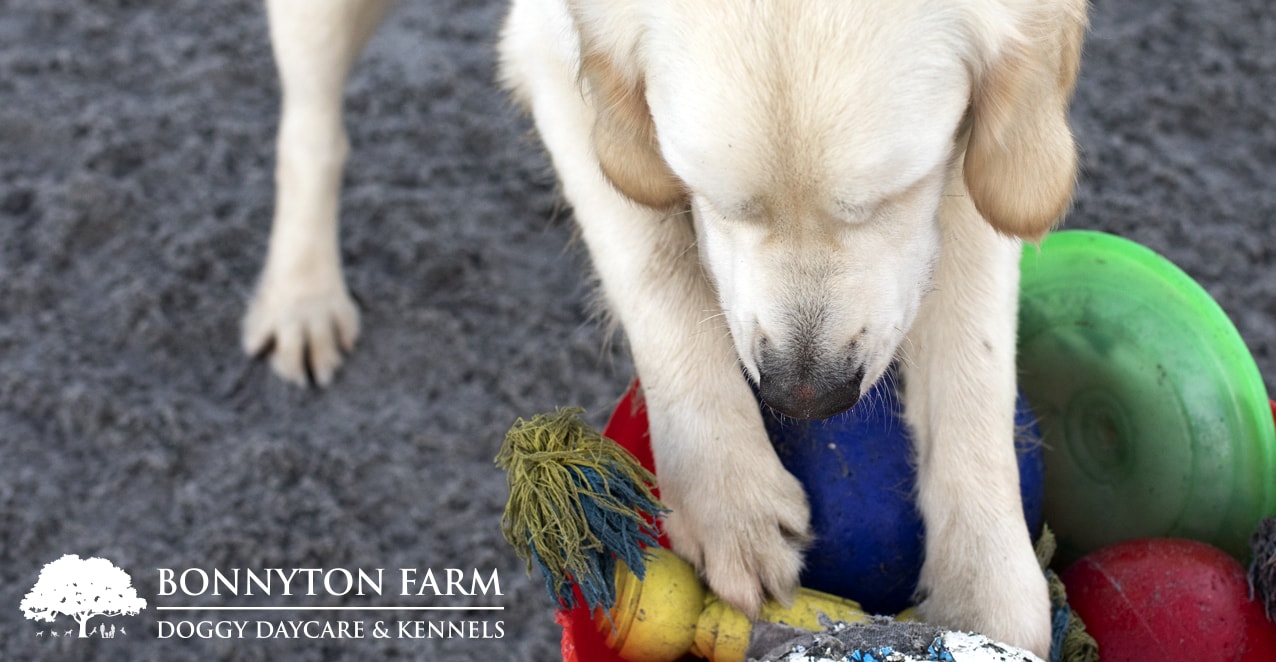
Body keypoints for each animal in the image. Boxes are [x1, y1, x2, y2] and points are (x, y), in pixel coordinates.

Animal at [246, 0, 1087, 653]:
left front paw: (987, 590)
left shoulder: (981, 153)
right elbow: (655, 271)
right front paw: (728, 496)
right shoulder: (558, 61)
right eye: (712, 196)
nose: (806, 398)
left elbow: (974, 353)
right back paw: (300, 295)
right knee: (310, 129)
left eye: (893, 194)